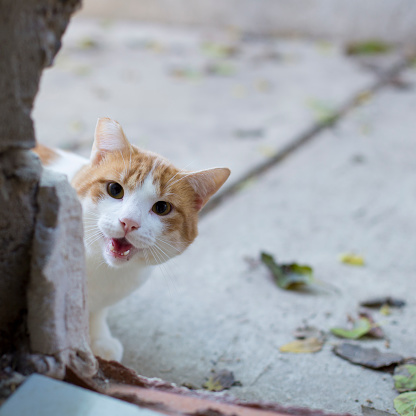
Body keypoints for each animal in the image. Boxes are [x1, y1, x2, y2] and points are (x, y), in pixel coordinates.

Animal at [34, 117, 231, 360]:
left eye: (162, 208)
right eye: (114, 189)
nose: (129, 222)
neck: (101, 269)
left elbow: (96, 312)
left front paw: (98, 338)